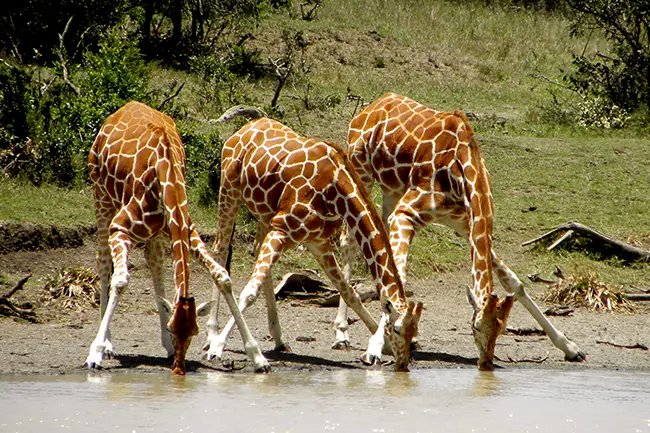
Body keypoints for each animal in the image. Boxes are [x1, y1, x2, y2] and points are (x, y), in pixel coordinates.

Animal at [86, 100, 268, 372]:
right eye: (174, 329)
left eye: (193, 331)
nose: (179, 368)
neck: (166, 175)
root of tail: (121, 109)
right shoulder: (120, 228)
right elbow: (120, 280)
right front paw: (96, 352)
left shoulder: (186, 230)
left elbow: (222, 276)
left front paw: (258, 357)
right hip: (101, 194)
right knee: (104, 261)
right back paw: (108, 344)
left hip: (154, 232)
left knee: (154, 262)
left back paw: (164, 347)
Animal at [202, 111, 422, 372]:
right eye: (397, 329)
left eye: (413, 332)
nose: (403, 365)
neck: (336, 190)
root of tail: (242, 130)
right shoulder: (282, 230)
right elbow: (249, 293)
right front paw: (221, 348)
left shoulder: (317, 241)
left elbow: (349, 291)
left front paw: (378, 348)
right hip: (229, 191)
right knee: (221, 249)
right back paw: (211, 336)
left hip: (264, 214)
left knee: (255, 251)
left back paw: (279, 338)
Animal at [340, 93, 588, 370]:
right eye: (476, 328)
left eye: (501, 329)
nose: (486, 363)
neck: (463, 173)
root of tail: (372, 105)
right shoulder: (406, 214)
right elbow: (396, 281)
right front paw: (373, 348)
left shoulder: (465, 226)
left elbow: (514, 283)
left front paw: (570, 347)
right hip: (361, 170)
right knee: (349, 241)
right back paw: (342, 334)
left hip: (391, 189)